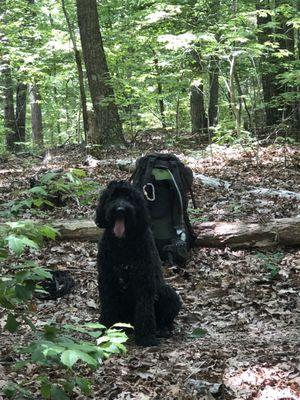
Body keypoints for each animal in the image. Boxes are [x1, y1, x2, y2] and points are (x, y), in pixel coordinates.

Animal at [95, 180, 182, 346]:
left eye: (129, 198)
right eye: (112, 197)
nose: (120, 210)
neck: (123, 244)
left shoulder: (144, 282)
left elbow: (144, 311)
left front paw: (146, 337)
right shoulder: (107, 280)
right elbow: (108, 306)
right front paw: (105, 329)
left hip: (167, 293)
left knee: (165, 319)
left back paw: (162, 329)